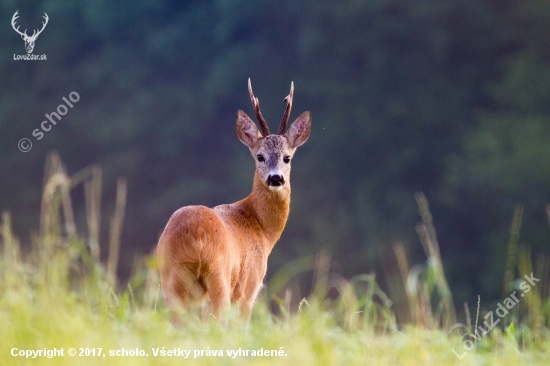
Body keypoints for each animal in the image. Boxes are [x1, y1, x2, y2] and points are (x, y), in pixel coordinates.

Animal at [157, 77, 312, 324]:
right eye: (260, 156)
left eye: (287, 157)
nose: (275, 178)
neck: (263, 231)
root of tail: (196, 237)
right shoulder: (251, 285)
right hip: (219, 273)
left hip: (170, 277)